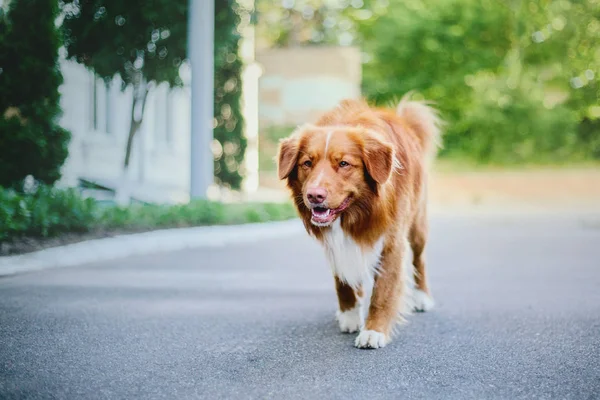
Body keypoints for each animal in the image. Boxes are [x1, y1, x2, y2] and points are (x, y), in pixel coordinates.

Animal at [276, 95, 440, 348]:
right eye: (307, 163)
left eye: (344, 163)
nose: (314, 195)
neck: (356, 212)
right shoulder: (334, 241)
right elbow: (341, 281)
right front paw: (350, 314)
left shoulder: (392, 241)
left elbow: (383, 290)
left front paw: (374, 330)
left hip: (417, 225)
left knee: (419, 259)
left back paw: (422, 297)